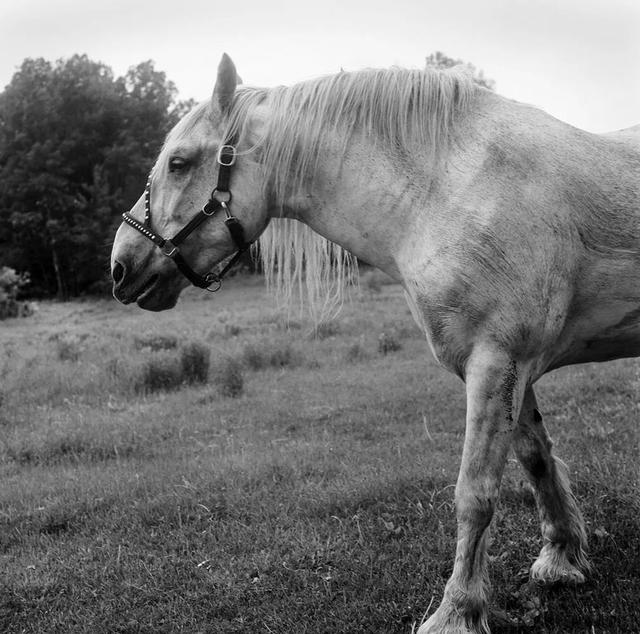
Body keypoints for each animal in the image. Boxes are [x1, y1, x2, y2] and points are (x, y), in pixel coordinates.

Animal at [110, 55, 640, 632]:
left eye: (179, 162)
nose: (120, 265)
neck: (451, 191)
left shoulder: (496, 363)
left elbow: (475, 493)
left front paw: (457, 611)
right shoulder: (512, 368)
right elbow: (536, 457)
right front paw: (561, 558)